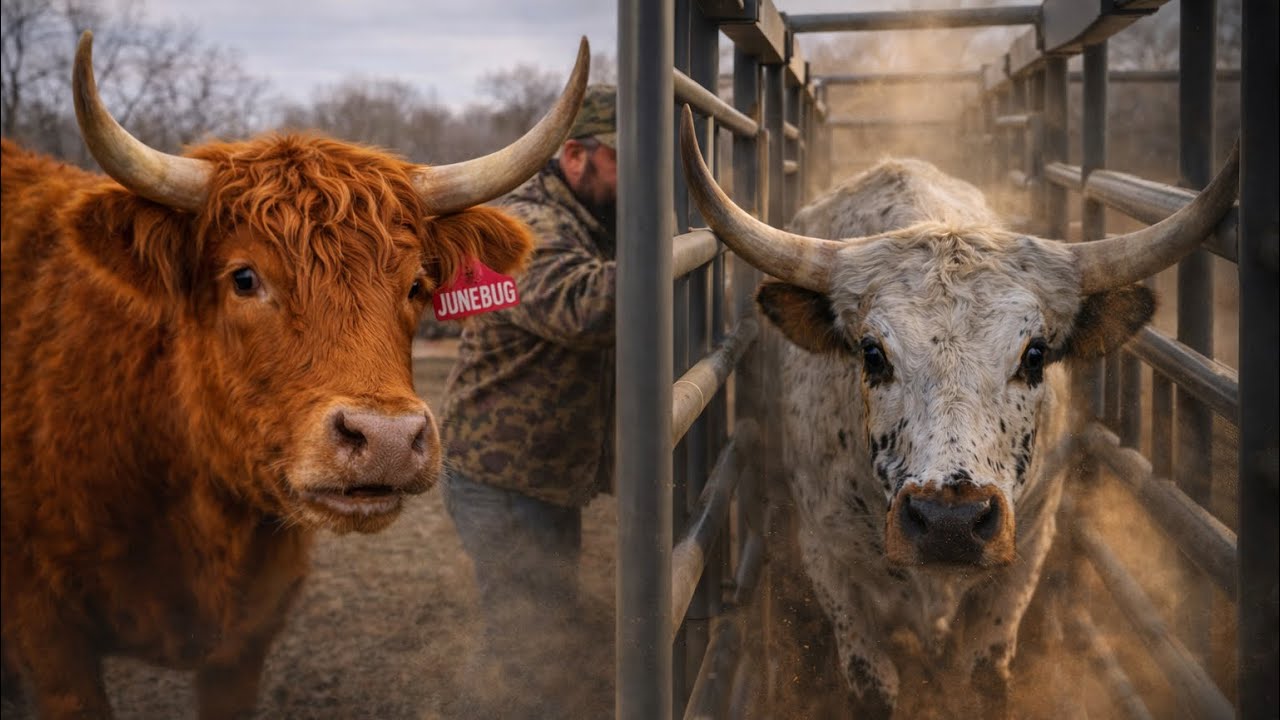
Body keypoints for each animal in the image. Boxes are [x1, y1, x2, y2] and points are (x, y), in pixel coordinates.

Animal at [677, 105, 1239, 718]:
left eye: (1035, 354)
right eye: (872, 353)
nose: (951, 522)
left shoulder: (1027, 550)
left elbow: (985, 674)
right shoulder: (827, 559)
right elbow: (870, 683)